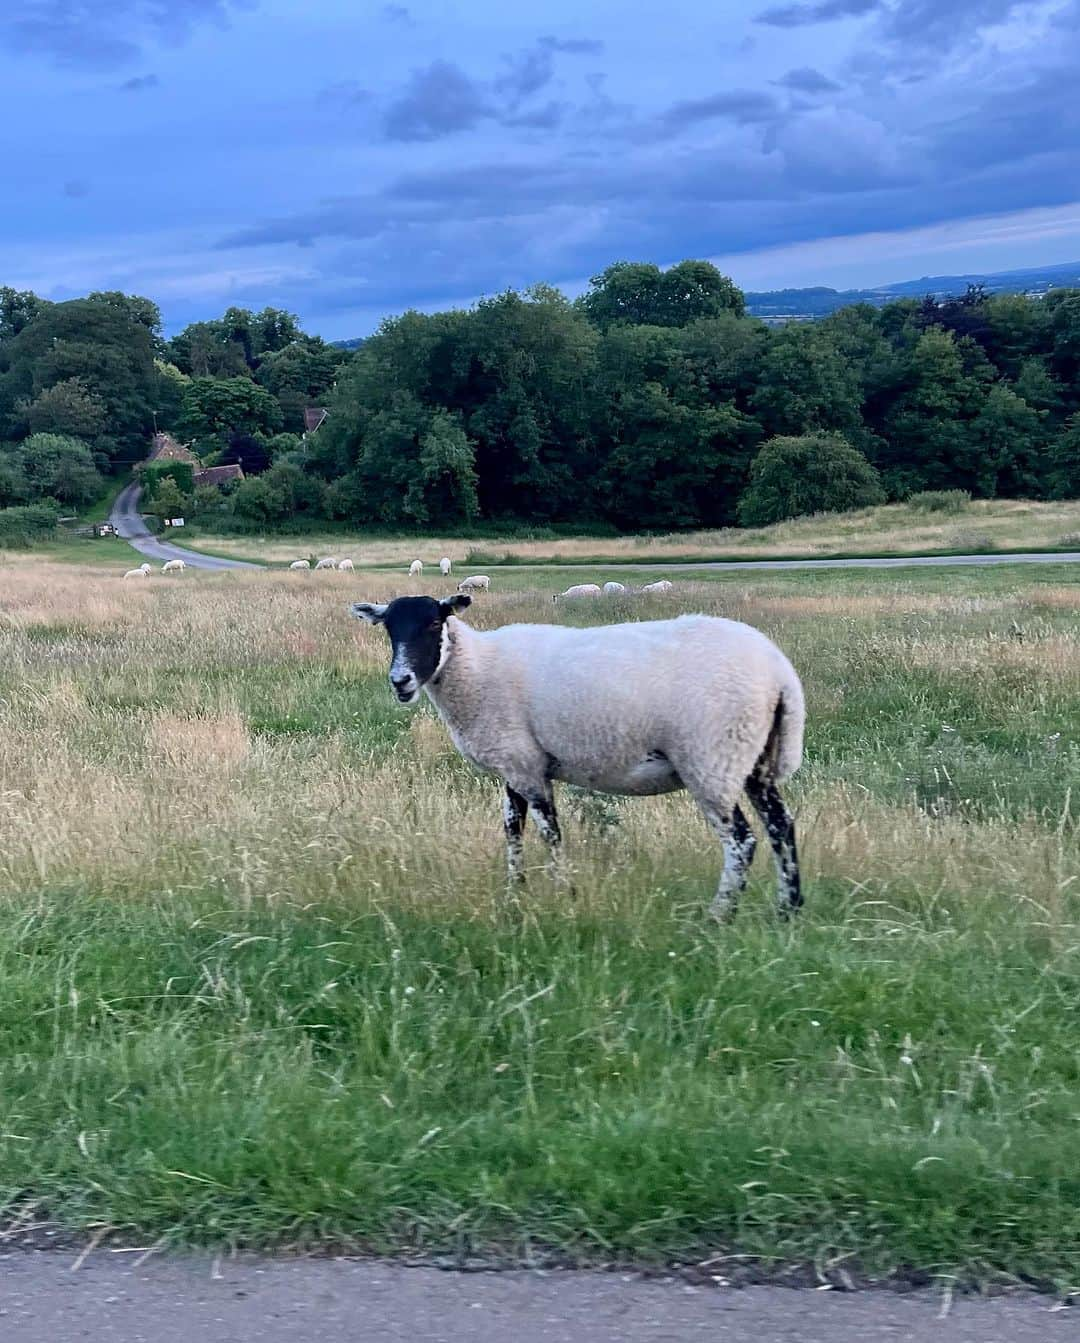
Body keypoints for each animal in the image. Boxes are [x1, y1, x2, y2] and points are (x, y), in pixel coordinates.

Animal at [349, 598, 805, 923]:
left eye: (433, 624)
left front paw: (564, 893)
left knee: (742, 841)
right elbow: (512, 831)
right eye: (388, 628)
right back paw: (788, 913)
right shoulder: (516, 763)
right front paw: (515, 896)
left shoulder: (525, 765)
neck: (475, 668)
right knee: (781, 827)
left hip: (711, 758)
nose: (400, 681)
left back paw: (718, 918)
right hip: (752, 757)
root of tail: (781, 673)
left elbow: (550, 833)